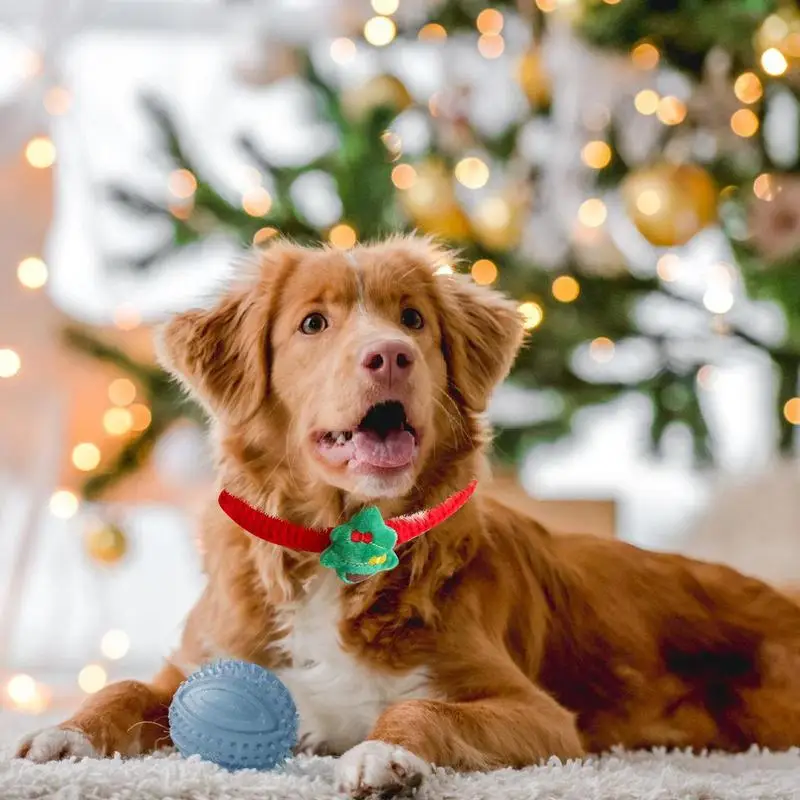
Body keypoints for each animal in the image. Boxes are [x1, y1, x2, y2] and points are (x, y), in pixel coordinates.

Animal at [14, 236, 800, 792]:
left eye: (413, 319)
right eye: (313, 323)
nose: (389, 355)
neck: (339, 545)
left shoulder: (541, 716)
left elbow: (421, 707)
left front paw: (384, 753)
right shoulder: (198, 663)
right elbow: (122, 685)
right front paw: (64, 736)